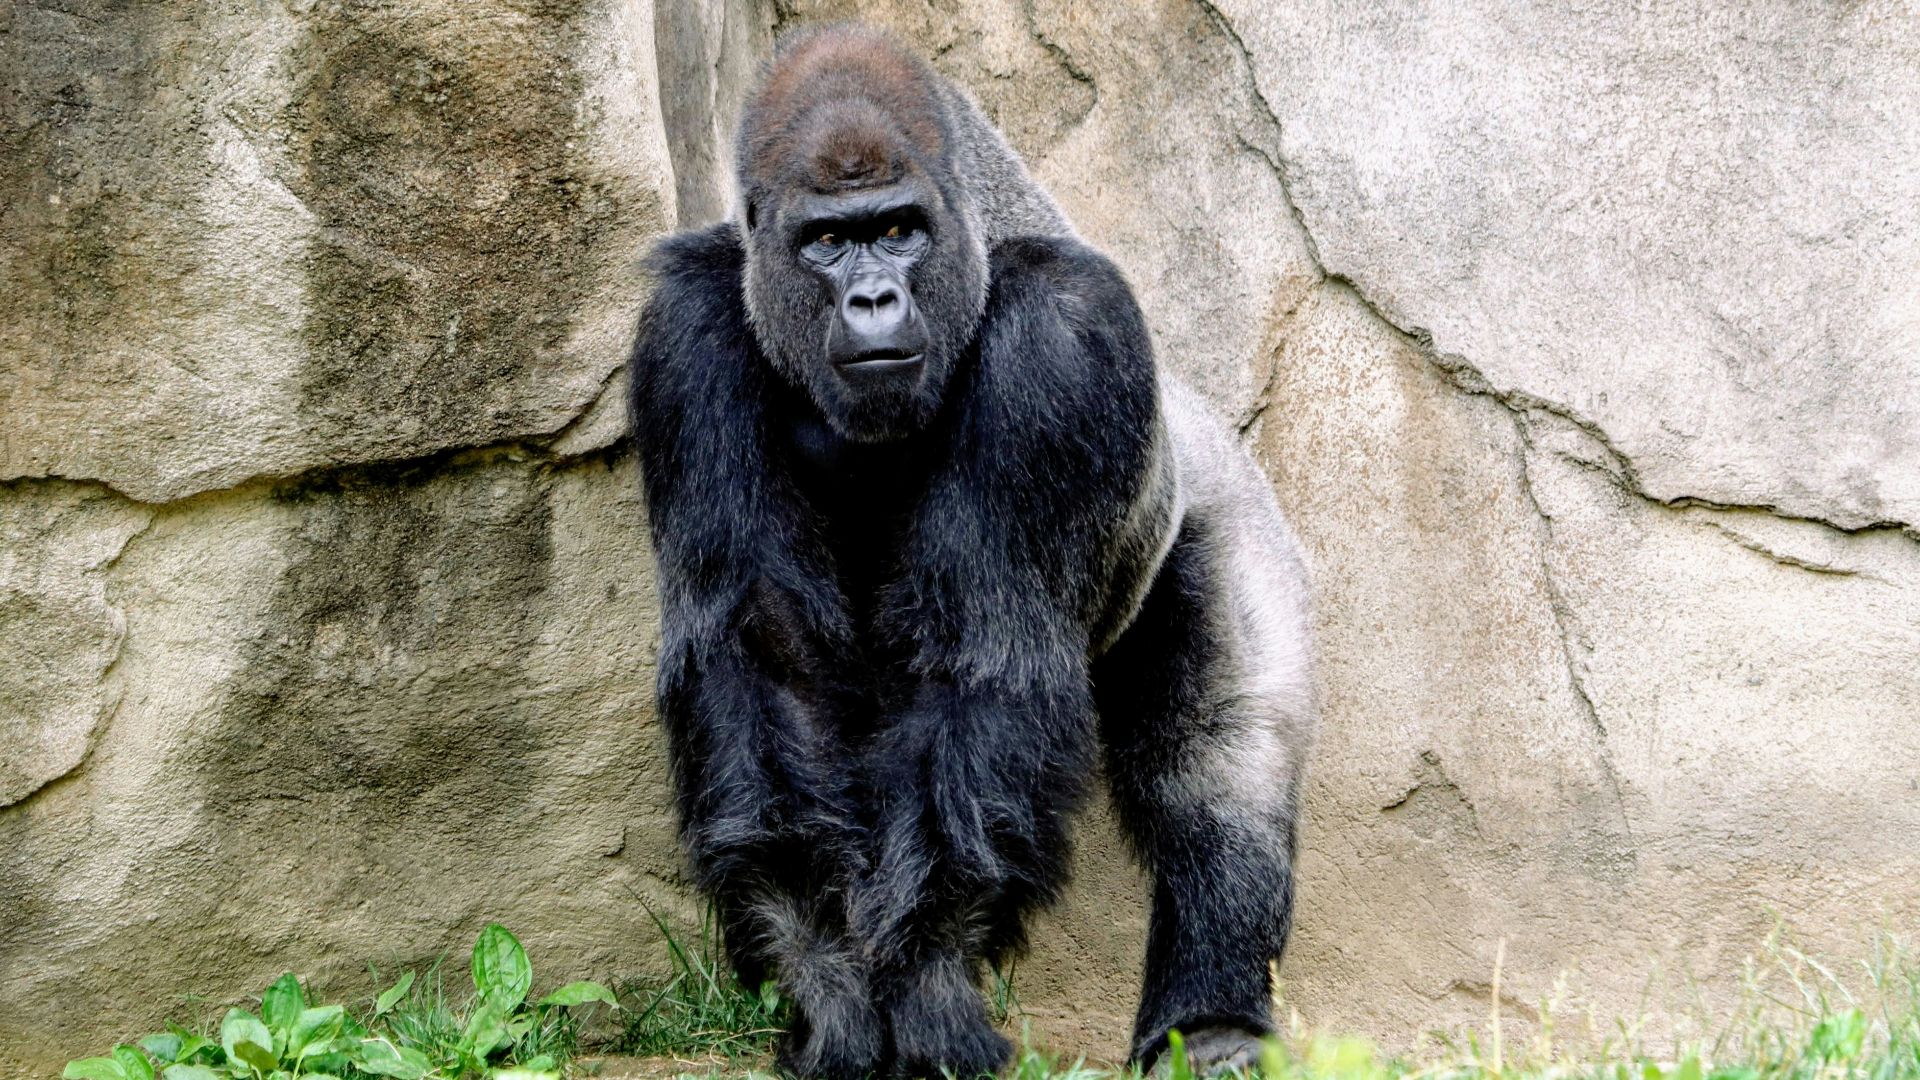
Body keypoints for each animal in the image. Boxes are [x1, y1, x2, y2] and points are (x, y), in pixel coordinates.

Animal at [627, 24, 1314, 1079]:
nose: (873, 298)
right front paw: (830, 987)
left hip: (1224, 508)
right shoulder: (686, 333)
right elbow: (762, 664)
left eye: (899, 230)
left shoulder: (1065, 340)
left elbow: (986, 664)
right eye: (826, 242)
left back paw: (1213, 1020)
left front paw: (929, 990)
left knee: (1219, 759)